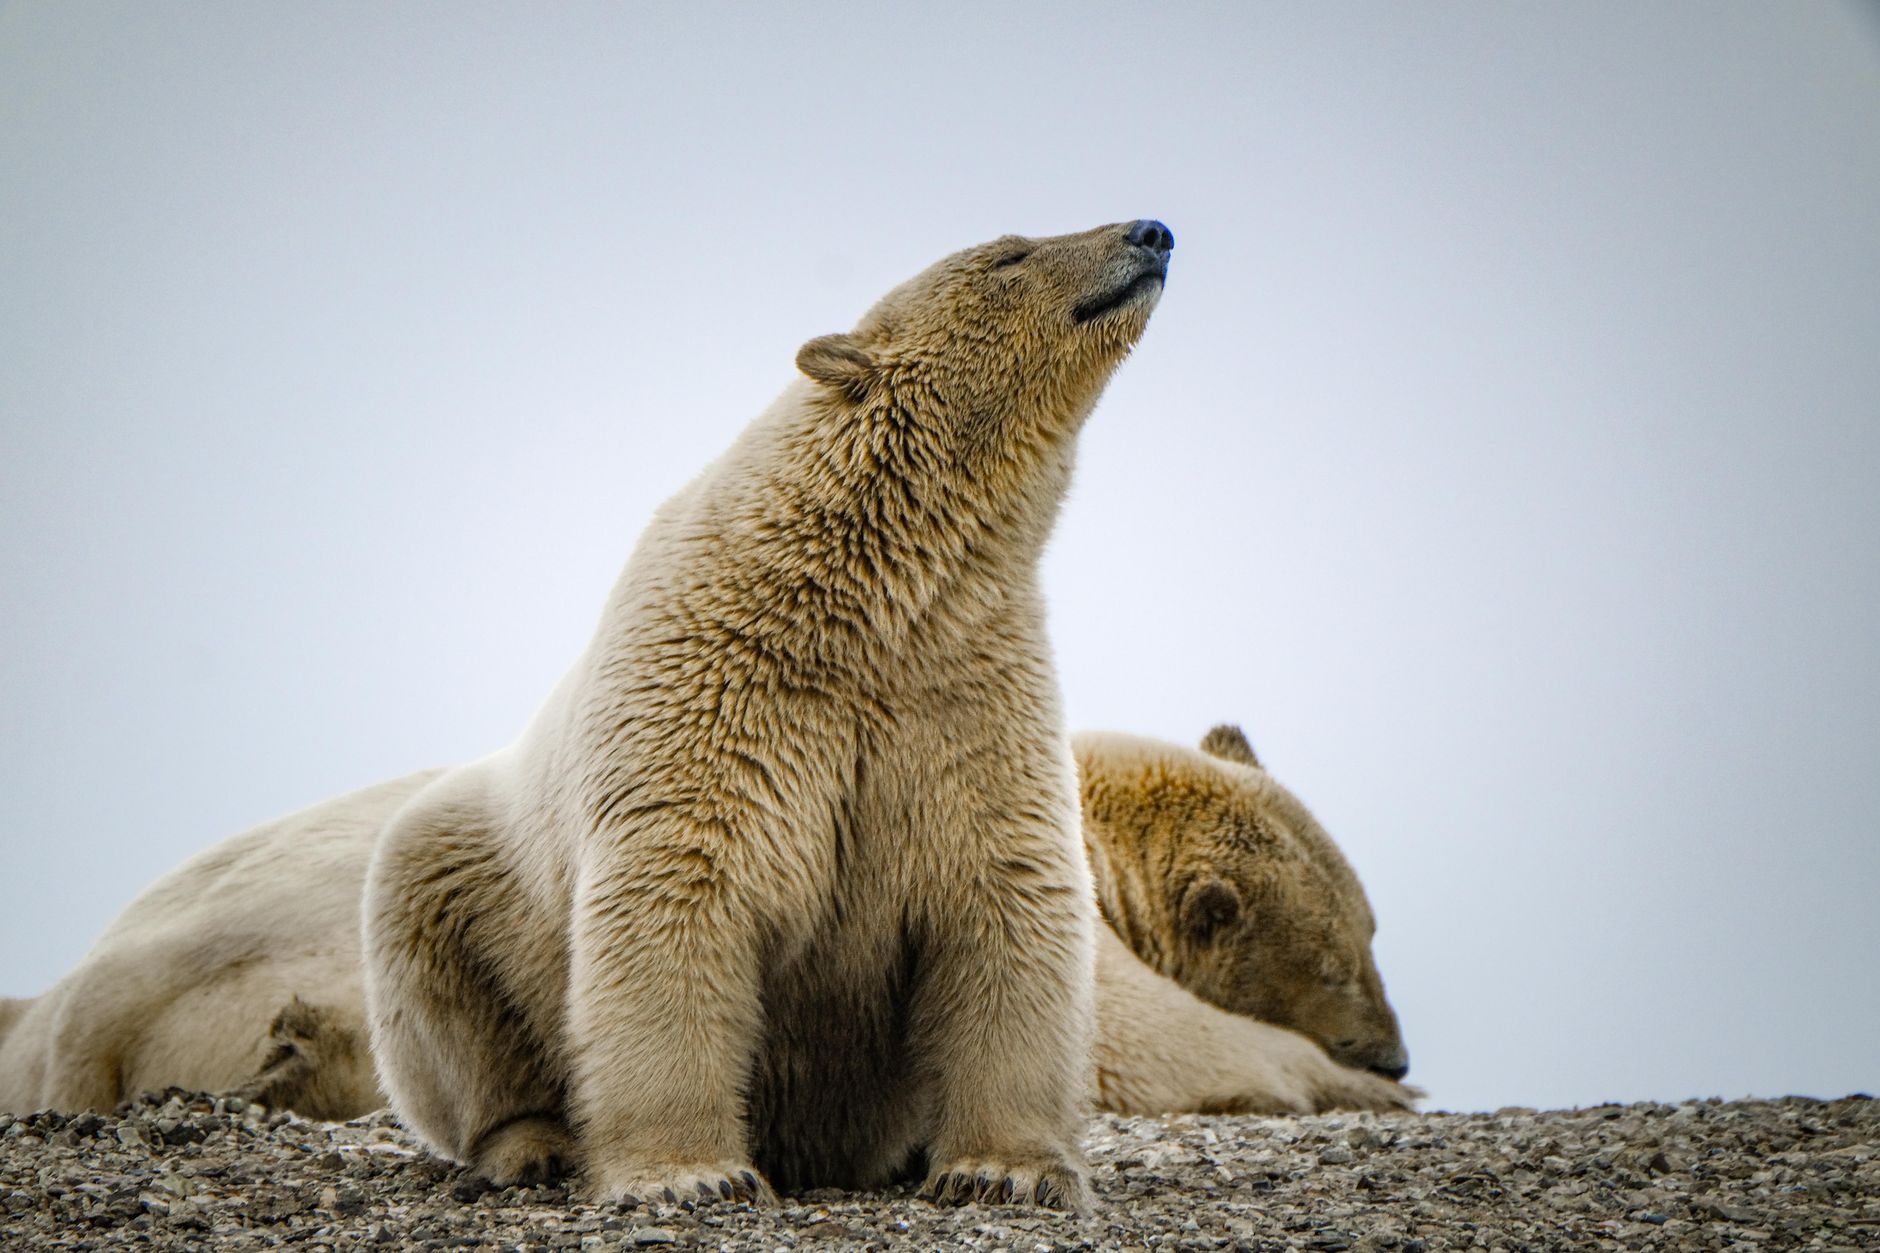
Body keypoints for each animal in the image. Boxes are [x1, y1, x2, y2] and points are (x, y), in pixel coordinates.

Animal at [0, 735, 1413, 1130]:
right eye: (1336, 959)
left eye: (1373, 925)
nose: (1394, 1050)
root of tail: (98, 989)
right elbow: (1139, 1035)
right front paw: (1344, 1086)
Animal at [355, 220, 1182, 1211]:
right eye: (1009, 254)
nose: (1151, 231)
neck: (866, 598)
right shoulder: (716, 692)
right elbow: (681, 891)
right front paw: (690, 1173)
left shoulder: (965, 694)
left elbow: (1007, 892)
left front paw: (1004, 1169)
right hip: (470, 873)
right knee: (442, 973)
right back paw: (534, 1144)